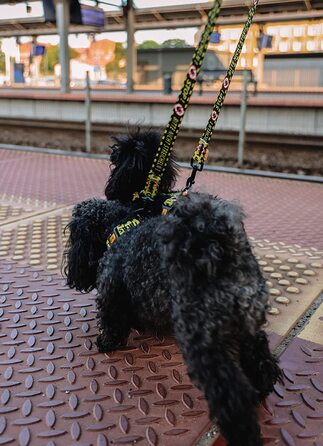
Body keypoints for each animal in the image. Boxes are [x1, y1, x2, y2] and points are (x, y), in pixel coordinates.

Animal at [64, 127, 282, 446]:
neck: (121, 226)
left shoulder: (112, 291)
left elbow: (113, 319)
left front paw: (106, 342)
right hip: (247, 325)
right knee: (262, 360)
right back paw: (262, 387)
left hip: (204, 341)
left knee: (229, 391)